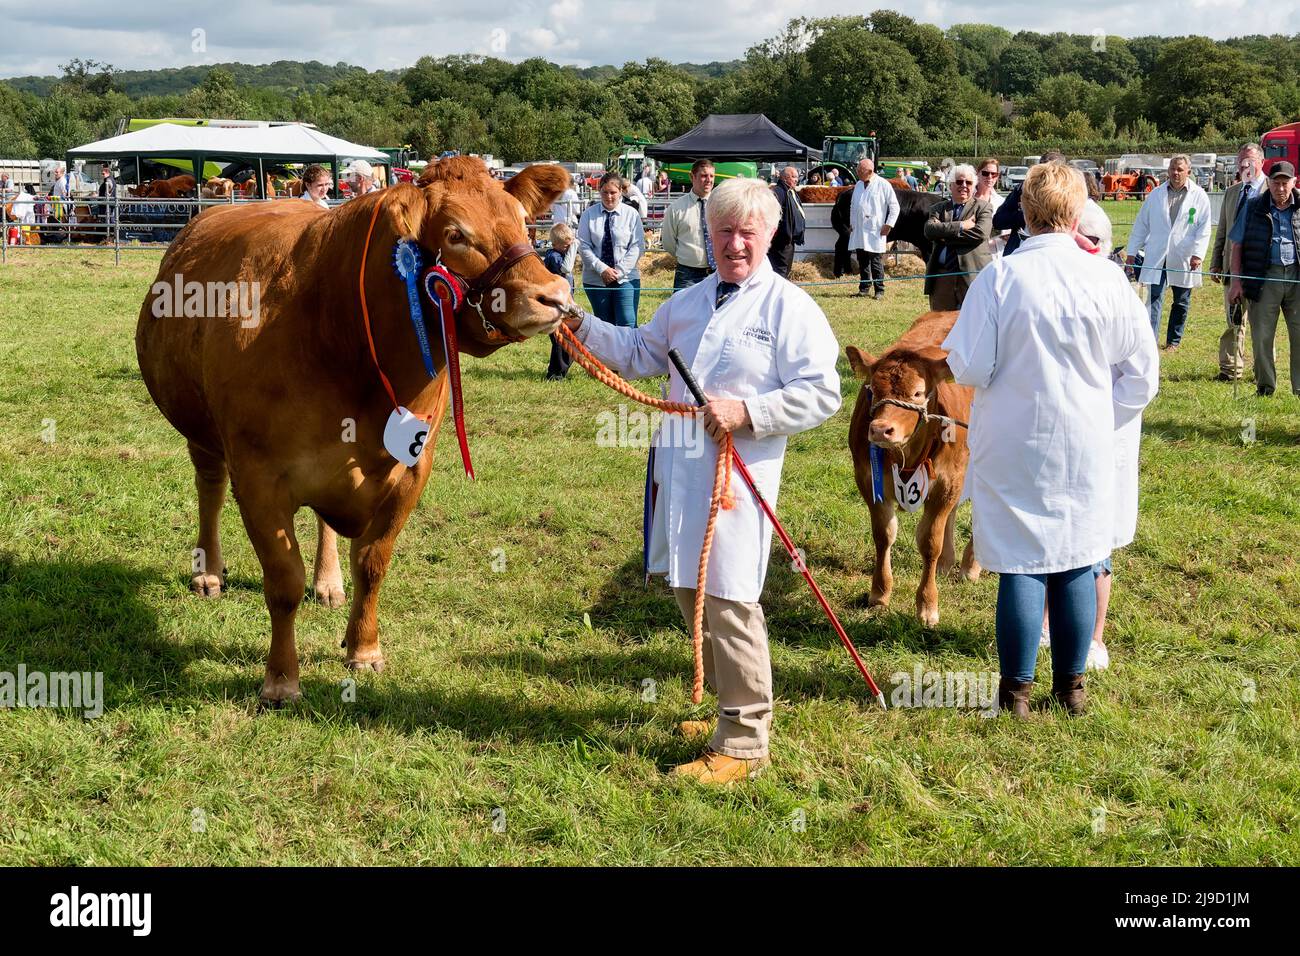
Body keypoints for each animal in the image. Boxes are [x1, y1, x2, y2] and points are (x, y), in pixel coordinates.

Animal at [135, 157, 574, 707]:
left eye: (521, 220)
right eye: (455, 234)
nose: (555, 296)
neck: (338, 332)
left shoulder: (411, 471)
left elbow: (372, 563)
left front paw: (363, 649)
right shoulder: (257, 477)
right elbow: (282, 579)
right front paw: (281, 679)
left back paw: (328, 583)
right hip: (201, 433)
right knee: (209, 492)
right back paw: (209, 573)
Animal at [847, 312, 977, 629]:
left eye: (918, 393)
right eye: (871, 390)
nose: (881, 429)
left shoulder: (947, 481)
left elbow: (930, 542)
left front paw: (927, 605)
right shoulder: (868, 480)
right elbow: (884, 535)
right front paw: (880, 593)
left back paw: (970, 565)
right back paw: (947, 563)